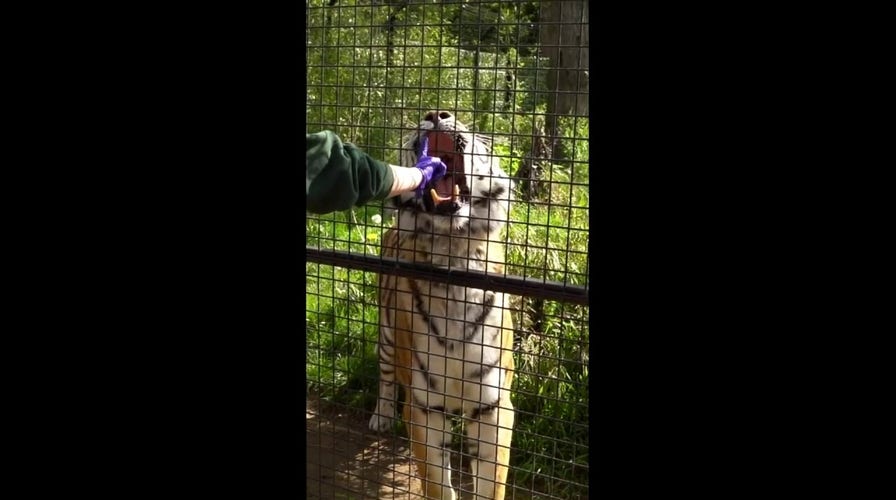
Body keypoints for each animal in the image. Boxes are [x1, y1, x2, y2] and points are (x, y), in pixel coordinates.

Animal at [368, 110, 516, 500]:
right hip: (387, 338)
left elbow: (490, 484)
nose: (436, 113)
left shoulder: (493, 408)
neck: (453, 251)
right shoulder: (423, 408)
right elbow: (436, 482)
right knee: (386, 378)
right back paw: (381, 417)